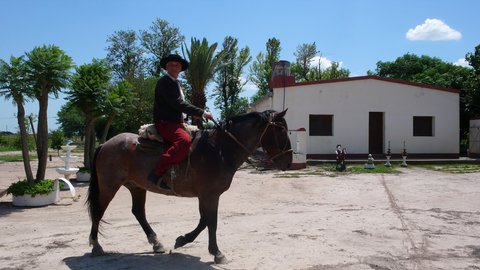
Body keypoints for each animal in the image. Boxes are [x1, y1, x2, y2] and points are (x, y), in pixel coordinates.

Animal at [86, 109, 292, 264]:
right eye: (282, 130)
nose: (289, 161)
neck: (219, 150)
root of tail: (106, 144)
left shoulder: (206, 195)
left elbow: (204, 220)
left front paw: (182, 240)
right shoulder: (210, 195)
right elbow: (211, 222)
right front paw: (217, 253)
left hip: (136, 186)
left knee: (138, 212)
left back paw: (156, 243)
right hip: (109, 186)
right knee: (98, 211)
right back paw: (96, 245)